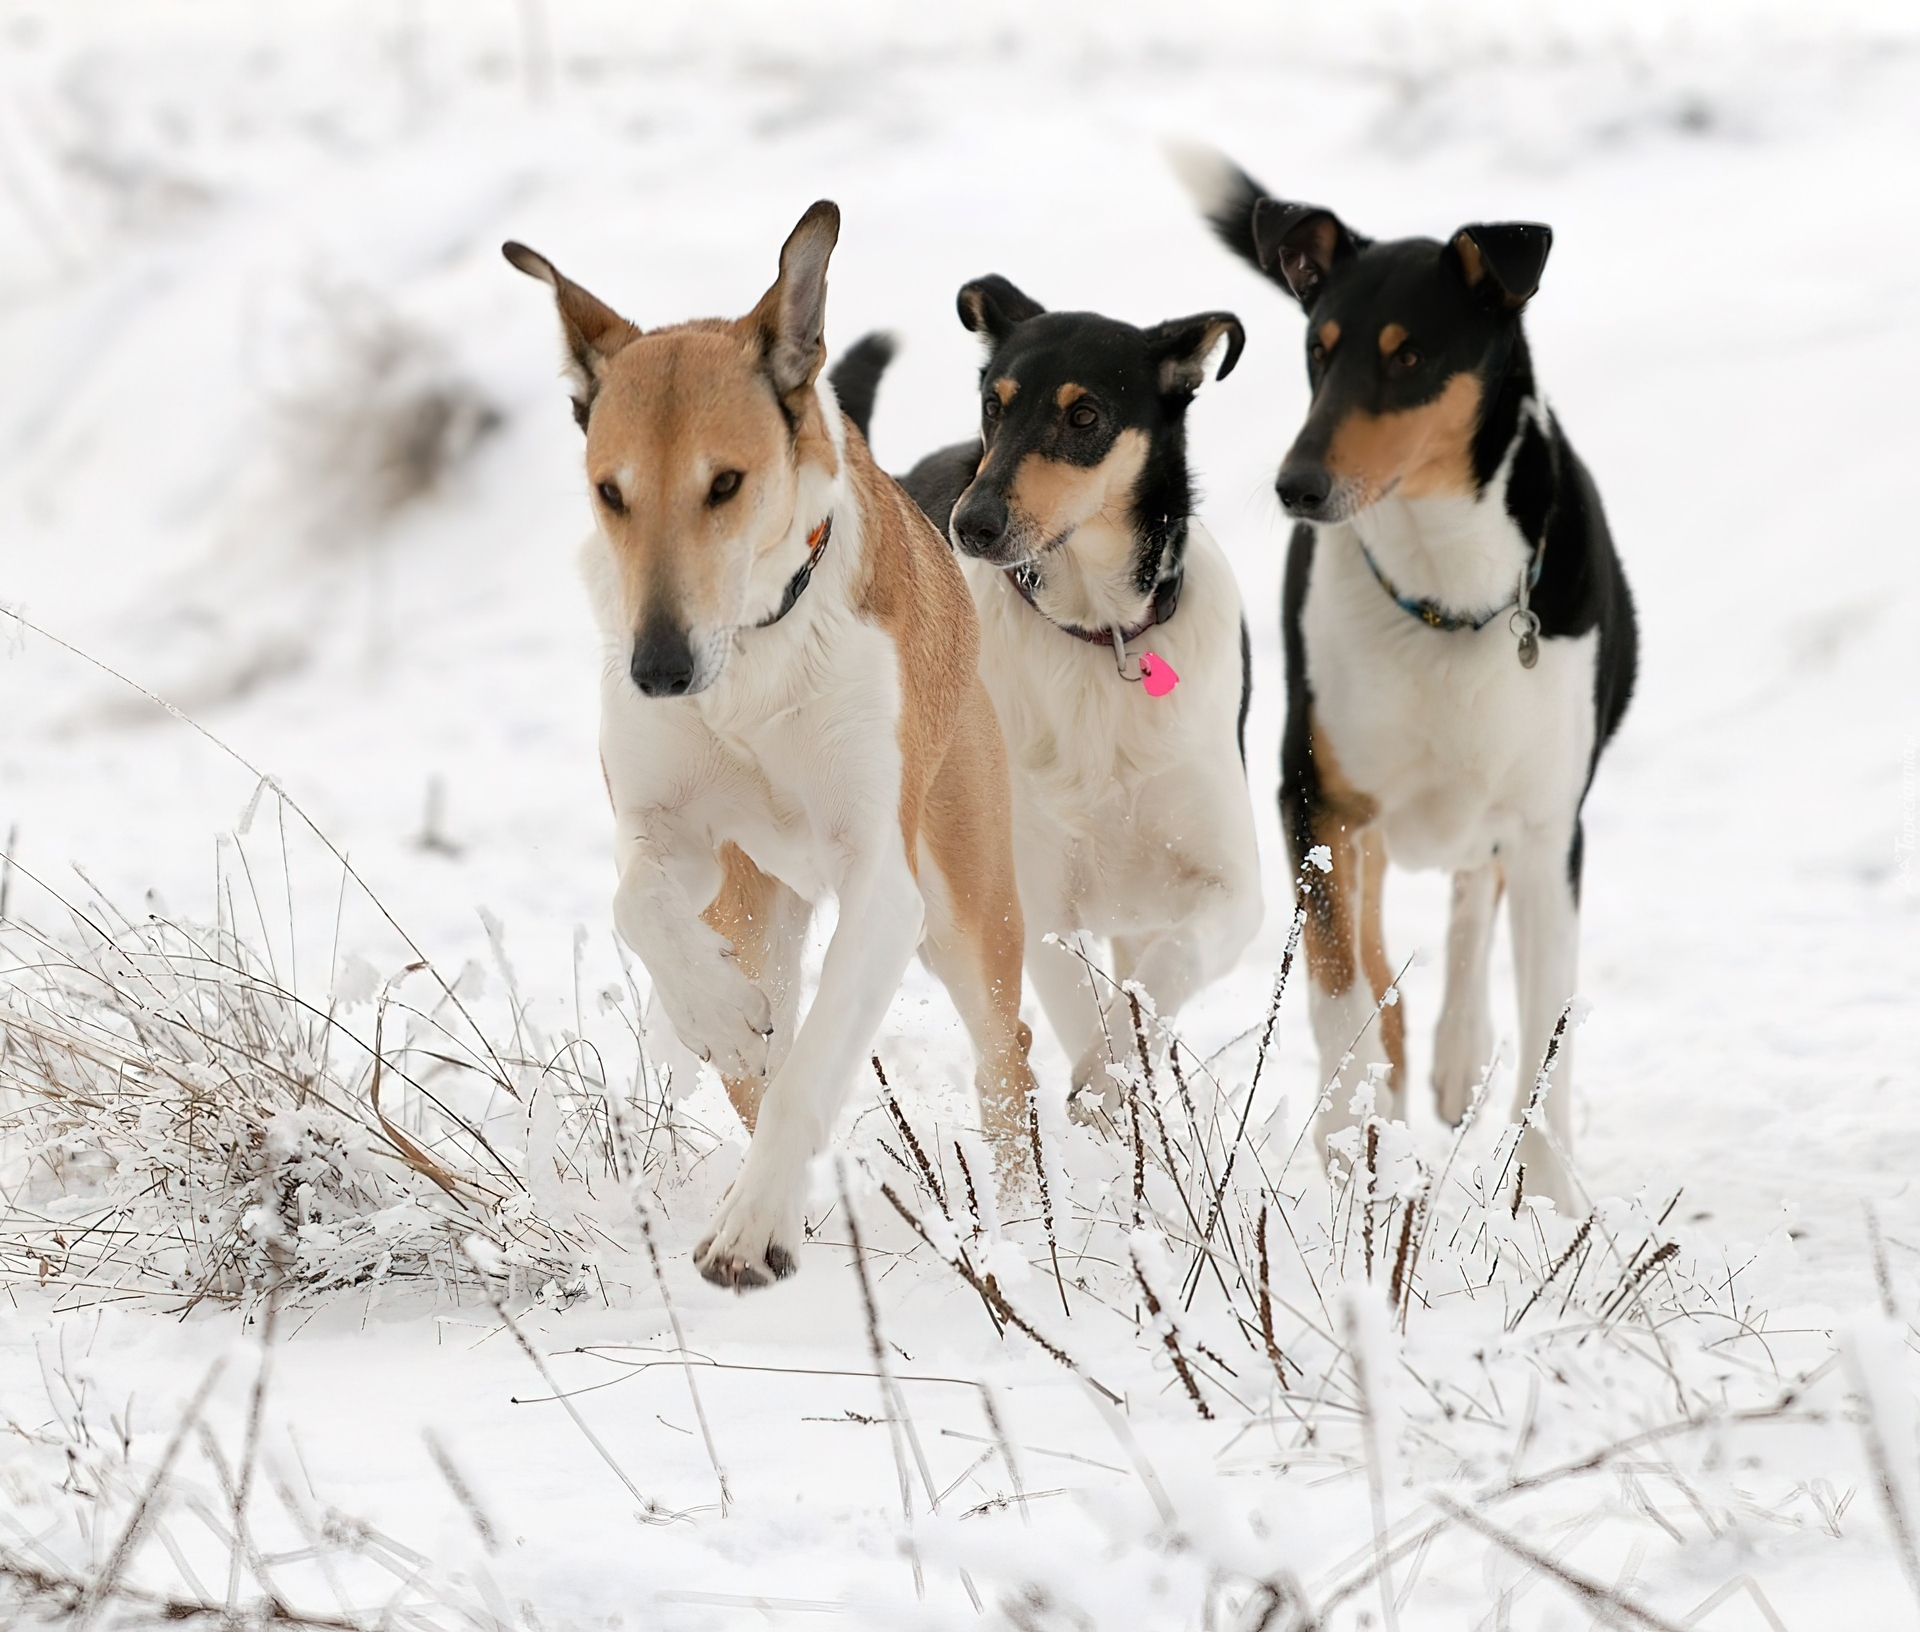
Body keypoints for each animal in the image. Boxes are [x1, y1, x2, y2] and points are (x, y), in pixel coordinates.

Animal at [499, 203, 1036, 1274]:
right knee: (763, 1046)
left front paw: (750, 1235)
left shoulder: (882, 878)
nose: (658, 670)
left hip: (968, 909)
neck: (748, 662)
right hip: (753, 915)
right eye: (610, 492)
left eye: (726, 484)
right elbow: (635, 902)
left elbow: (814, 1066)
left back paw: (1029, 1228)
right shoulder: (672, 835)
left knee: (1007, 1068)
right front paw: (718, 1018)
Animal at [829, 282, 1259, 1121]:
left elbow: (1161, 975)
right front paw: (1097, 1100)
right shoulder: (1036, 893)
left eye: (1084, 415)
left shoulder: (1232, 886)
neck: (1100, 633)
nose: (971, 524)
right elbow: (1077, 1000)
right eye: (992, 406)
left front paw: (1111, 1084)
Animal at [1175, 145, 1643, 1205]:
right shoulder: (1317, 798)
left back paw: (1460, 1052)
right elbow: (1340, 984)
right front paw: (1355, 1139)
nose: (1296, 486)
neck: (1444, 589)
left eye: (1409, 356)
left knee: (1475, 889)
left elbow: (1548, 1033)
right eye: (1318, 349)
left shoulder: (1552, 826)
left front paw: (1551, 1203)